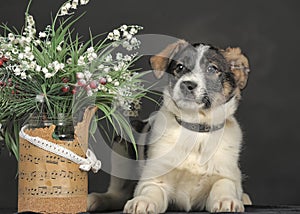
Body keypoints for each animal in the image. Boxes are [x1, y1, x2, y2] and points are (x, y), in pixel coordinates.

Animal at [86, 40, 251, 212]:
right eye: (179, 67)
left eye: (212, 68)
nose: (187, 84)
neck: (195, 128)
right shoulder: (154, 177)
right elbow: (151, 190)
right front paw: (144, 201)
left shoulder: (227, 175)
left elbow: (224, 185)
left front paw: (226, 200)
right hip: (120, 149)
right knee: (119, 193)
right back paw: (98, 199)